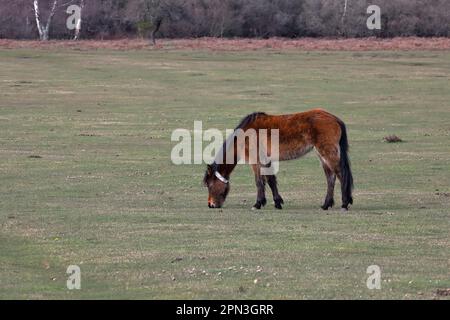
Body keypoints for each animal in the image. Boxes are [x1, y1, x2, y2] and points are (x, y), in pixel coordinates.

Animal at [202, 109, 354, 211]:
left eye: (209, 185)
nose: (210, 204)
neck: (245, 136)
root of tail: (334, 118)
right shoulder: (265, 160)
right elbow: (270, 180)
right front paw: (277, 202)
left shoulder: (255, 161)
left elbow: (259, 182)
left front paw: (258, 204)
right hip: (322, 156)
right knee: (330, 178)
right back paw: (326, 204)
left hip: (327, 153)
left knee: (341, 175)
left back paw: (345, 203)